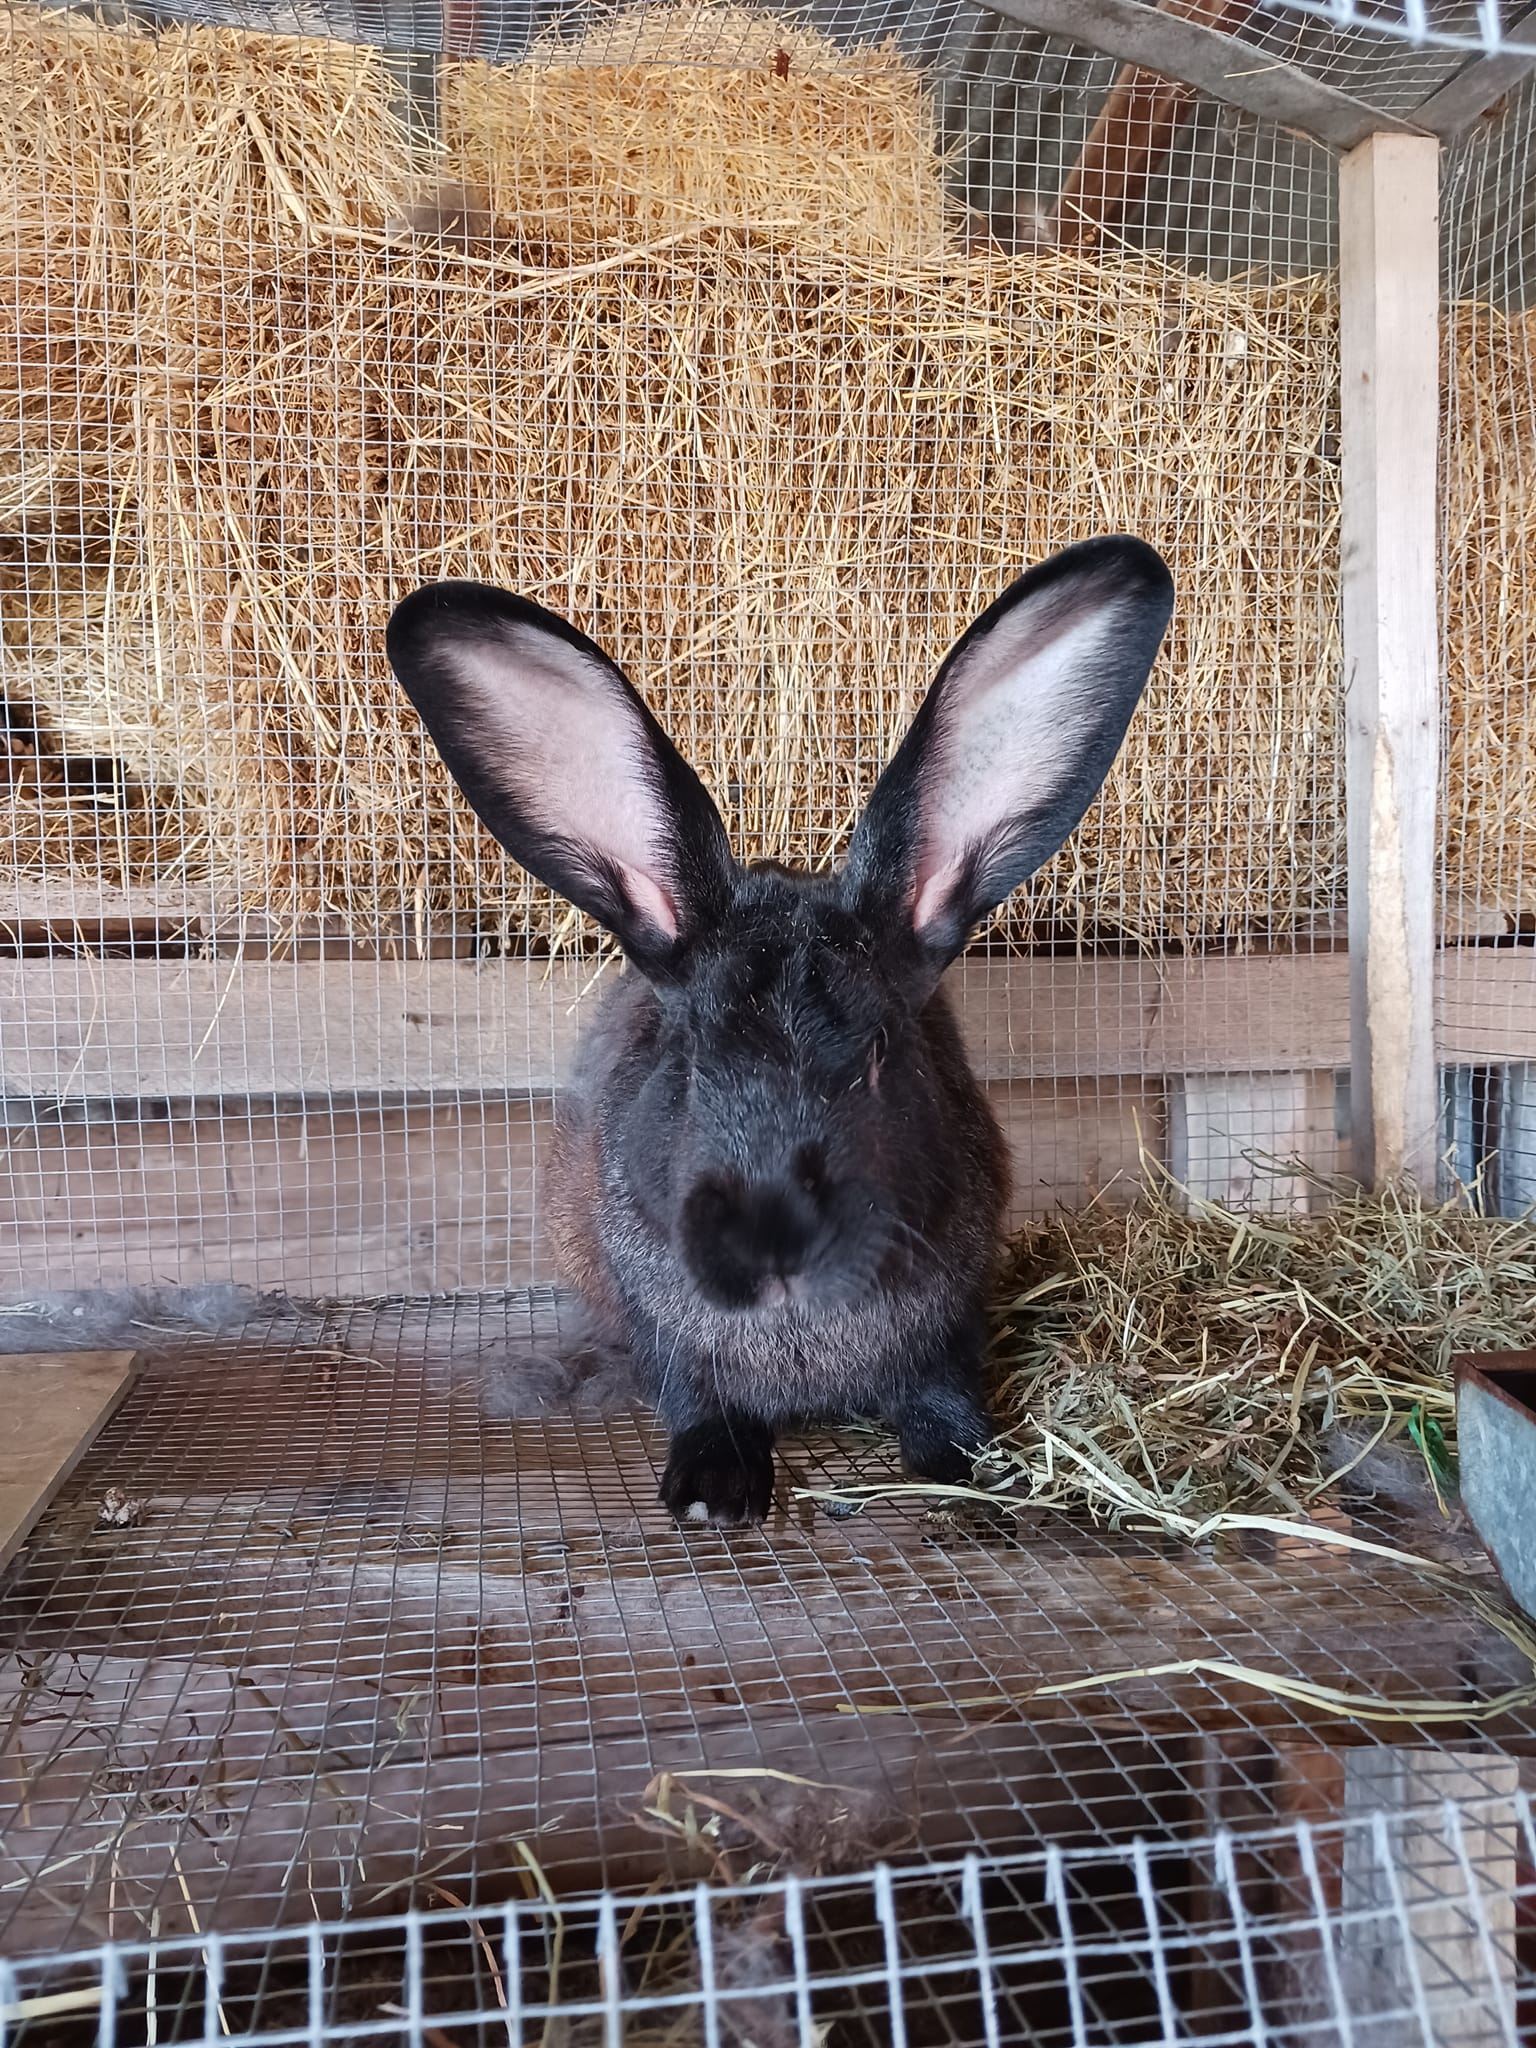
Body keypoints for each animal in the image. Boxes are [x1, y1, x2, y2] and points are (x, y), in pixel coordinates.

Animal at [386, 535, 1174, 1525]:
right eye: (690, 1060)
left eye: (878, 1056)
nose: (774, 1243)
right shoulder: (671, 1344)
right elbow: (700, 1401)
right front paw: (710, 1494)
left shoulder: (952, 1326)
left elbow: (945, 1393)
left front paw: (964, 1465)